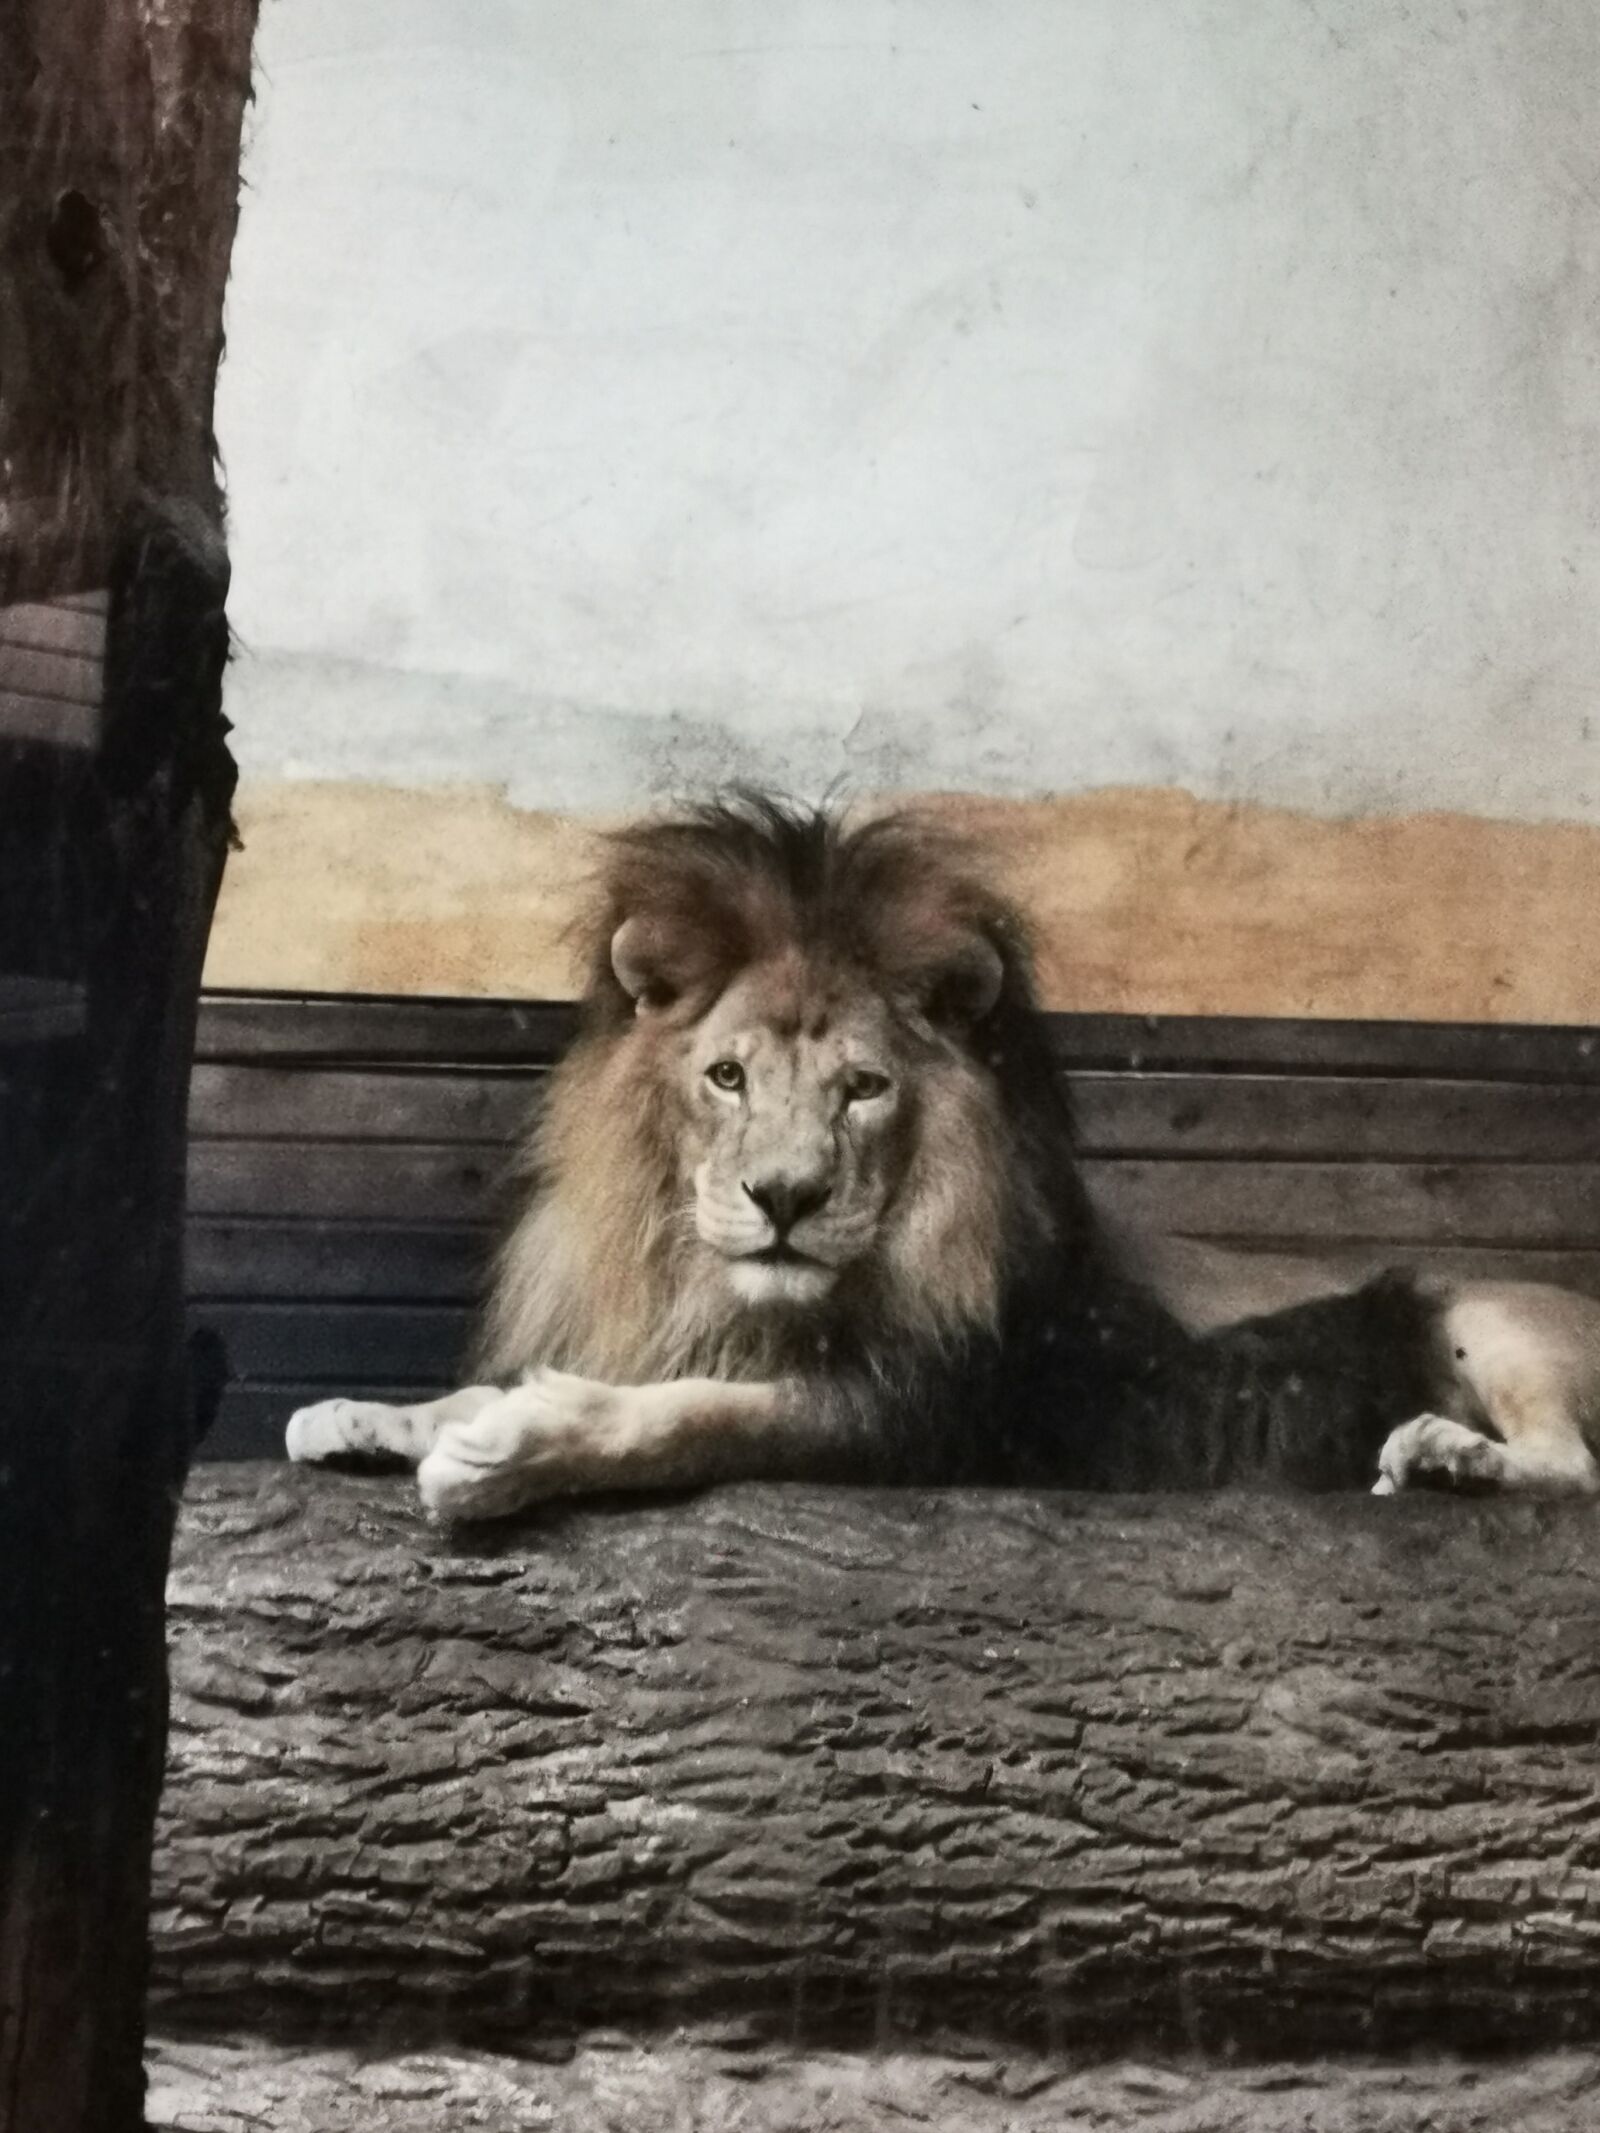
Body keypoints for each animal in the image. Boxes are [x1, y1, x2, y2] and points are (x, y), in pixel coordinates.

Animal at [286, 793, 1600, 1521]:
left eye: (864, 1090)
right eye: (726, 1078)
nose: (784, 1198)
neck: (739, 1298)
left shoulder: (912, 1416)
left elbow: (692, 1418)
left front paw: (510, 1451)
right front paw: (375, 1415)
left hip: (1490, 1312)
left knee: (1576, 1469)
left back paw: (1445, 1455)